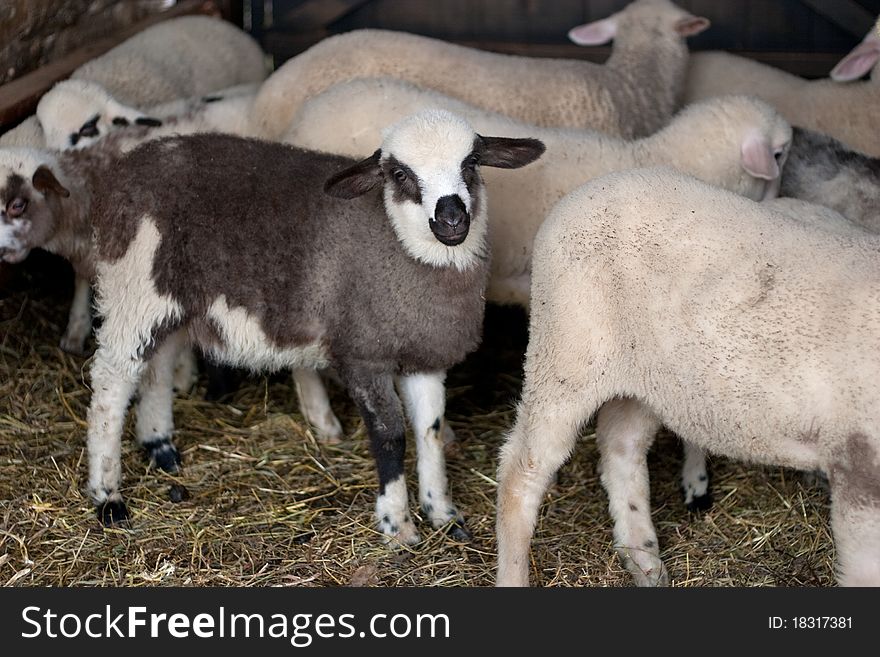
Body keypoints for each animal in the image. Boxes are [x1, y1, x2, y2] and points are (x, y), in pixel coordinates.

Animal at [496, 167, 880, 588]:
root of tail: (592, 187)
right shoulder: (860, 468)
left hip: (648, 378)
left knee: (621, 448)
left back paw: (643, 558)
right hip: (567, 351)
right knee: (521, 471)